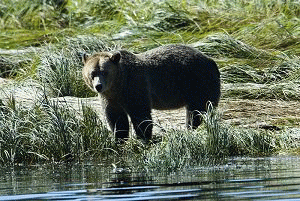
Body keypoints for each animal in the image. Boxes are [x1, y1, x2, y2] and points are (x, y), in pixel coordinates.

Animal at [82, 45, 220, 143]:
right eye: (92, 73)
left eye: (104, 72)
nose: (98, 86)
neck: (118, 85)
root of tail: (211, 61)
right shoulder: (111, 98)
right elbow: (116, 119)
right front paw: (119, 137)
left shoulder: (134, 87)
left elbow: (140, 115)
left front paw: (143, 136)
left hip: (198, 83)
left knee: (196, 111)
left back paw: (191, 127)